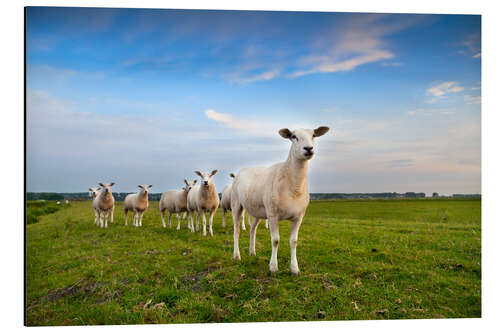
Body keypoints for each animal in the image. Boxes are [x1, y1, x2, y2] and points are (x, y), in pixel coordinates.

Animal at [231, 126, 332, 274]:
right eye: (293, 136)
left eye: (313, 135)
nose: (308, 148)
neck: (293, 187)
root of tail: (243, 169)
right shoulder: (273, 214)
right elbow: (275, 240)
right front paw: (273, 267)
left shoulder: (299, 216)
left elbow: (294, 241)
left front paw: (295, 268)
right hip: (236, 205)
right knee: (237, 230)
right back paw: (236, 255)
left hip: (257, 211)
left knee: (252, 230)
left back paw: (252, 252)